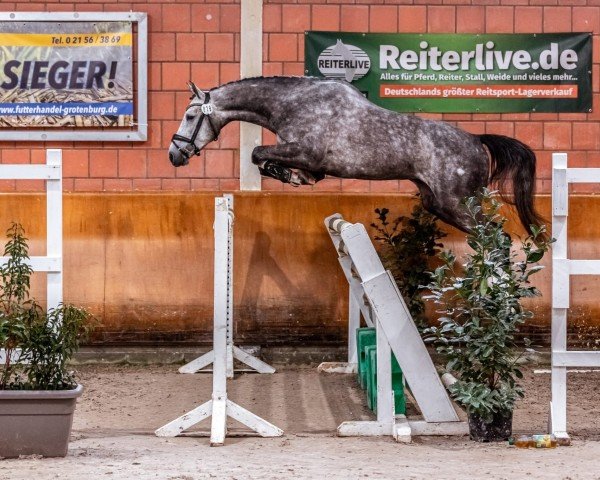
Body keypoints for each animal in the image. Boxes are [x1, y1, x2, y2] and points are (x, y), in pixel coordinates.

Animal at [169, 74, 544, 234]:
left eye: (188, 116)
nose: (174, 155)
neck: (292, 101)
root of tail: (477, 140)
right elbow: (263, 158)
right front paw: (299, 177)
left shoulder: (304, 149)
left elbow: (257, 154)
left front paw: (294, 176)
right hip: (437, 203)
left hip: (459, 204)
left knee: (496, 238)